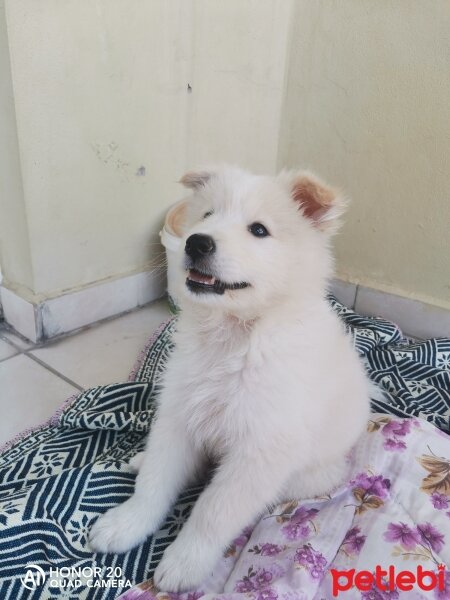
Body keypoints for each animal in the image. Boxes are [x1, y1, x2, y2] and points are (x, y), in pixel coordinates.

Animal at [89, 166, 370, 592]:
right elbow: (156, 480)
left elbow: (214, 509)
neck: (233, 337)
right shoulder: (179, 415)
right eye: (207, 215)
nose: (196, 242)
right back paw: (140, 459)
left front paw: (184, 563)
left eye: (259, 230)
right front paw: (126, 524)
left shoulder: (259, 449)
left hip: (309, 473)